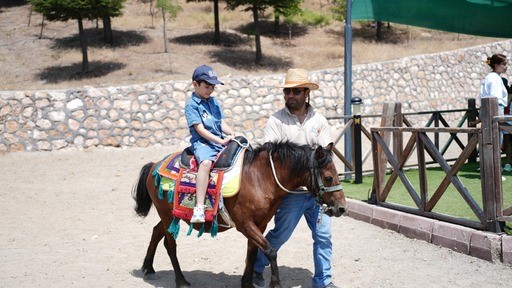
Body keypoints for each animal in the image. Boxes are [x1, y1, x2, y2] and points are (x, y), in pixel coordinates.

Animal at [133, 141, 348, 286]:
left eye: (338, 175)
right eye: (328, 177)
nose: (341, 208)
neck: (260, 178)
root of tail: (155, 165)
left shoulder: (260, 224)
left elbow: (252, 254)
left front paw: (247, 283)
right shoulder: (245, 224)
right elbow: (270, 251)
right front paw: (275, 283)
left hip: (170, 215)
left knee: (156, 232)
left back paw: (148, 268)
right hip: (168, 215)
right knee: (170, 245)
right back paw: (181, 280)